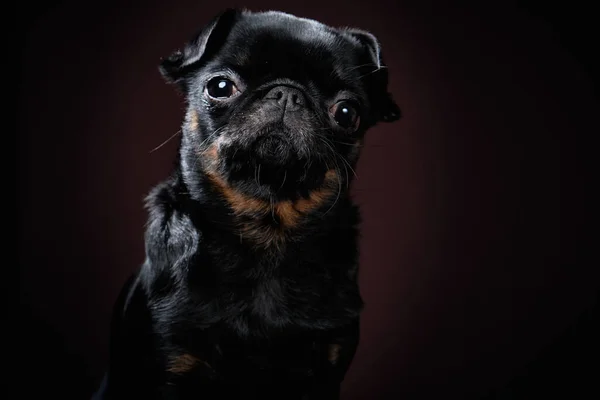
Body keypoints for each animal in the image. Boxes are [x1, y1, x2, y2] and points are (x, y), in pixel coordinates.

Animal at [94, 9, 400, 400]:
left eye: (347, 112)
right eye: (220, 87)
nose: (287, 92)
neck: (266, 229)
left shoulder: (324, 372)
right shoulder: (170, 363)